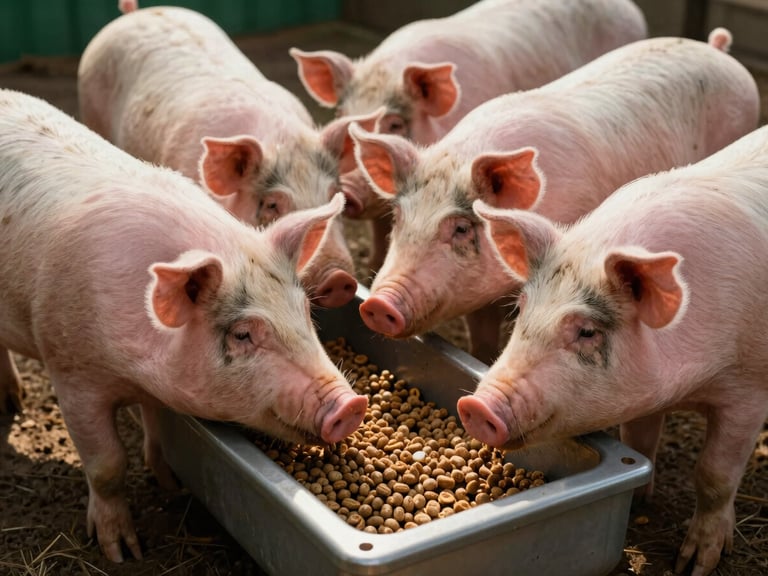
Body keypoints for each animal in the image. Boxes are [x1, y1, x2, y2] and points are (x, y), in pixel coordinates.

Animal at [0, 88, 367, 562]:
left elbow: (158, 432)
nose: (351, 406)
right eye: (242, 334)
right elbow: (106, 464)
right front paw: (123, 553)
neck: (133, 370)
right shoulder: (69, 368)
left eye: (304, 310)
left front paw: (168, 482)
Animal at [291, 0, 647, 273]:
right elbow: (380, 228)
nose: (349, 190)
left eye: (394, 124)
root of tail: (627, 7)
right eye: (341, 112)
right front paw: (373, 266)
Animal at [351, 30, 760, 364]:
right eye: (399, 218)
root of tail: (714, 48)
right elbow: (481, 333)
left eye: (462, 228)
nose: (376, 303)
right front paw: (481, 359)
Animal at [458, 123, 768, 576]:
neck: (689, 387)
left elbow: (715, 474)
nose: (475, 407)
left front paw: (693, 564)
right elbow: (638, 438)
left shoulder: (749, 388)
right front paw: (638, 502)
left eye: (587, 331)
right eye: (521, 307)